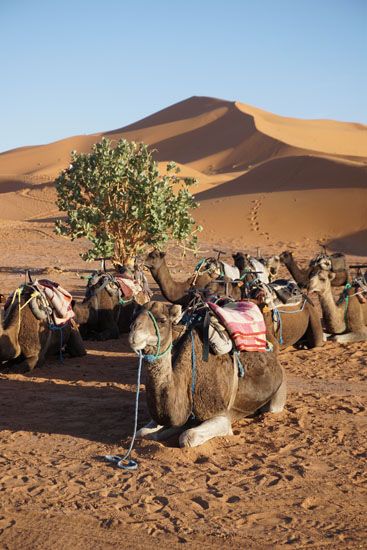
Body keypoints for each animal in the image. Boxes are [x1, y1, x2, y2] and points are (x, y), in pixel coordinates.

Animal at [129, 302, 288, 448]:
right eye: (133, 316)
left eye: (162, 320)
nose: (133, 334)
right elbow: (141, 433)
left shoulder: (221, 415)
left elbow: (187, 437)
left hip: (279, 391)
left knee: (272, 408)